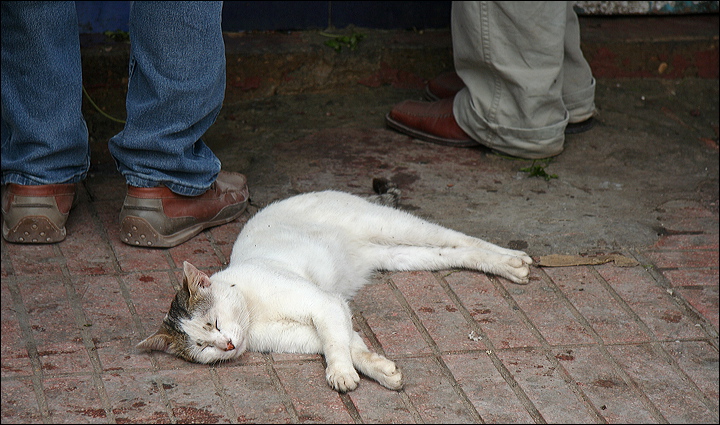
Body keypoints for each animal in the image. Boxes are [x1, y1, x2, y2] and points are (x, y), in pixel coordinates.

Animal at [139, 181, 536, 392]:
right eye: (203, 348)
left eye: (215, 323)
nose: (228, 345)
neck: (253, 316)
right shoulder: (316, 324)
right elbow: (349, 343)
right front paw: (380, 370)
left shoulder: (325, 304)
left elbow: (335, 343)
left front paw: (341, 374)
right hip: (399, 255)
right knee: (453, 253)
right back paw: (507, 265)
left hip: (395, 226)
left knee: (460, 237)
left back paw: (514, 259)